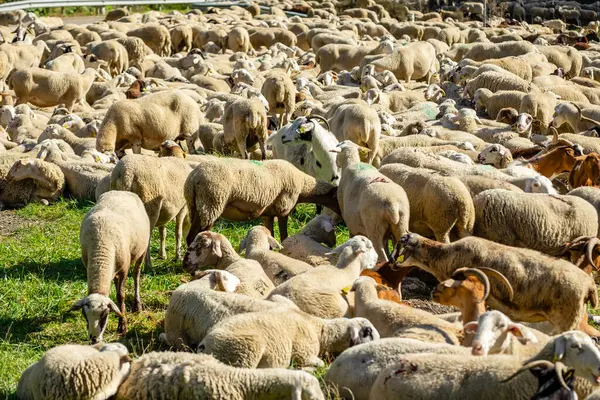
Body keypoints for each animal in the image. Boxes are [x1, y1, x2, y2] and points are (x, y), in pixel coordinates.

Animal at [71, 191, 150, 340]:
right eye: (85, 316)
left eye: (105, 315)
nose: (94, 339)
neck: (100, 244)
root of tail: (122, 191)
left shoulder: (124, 270)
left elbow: (120, 296)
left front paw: (122, 325)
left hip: (141, 251)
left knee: (136, 274)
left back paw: (137, 305)